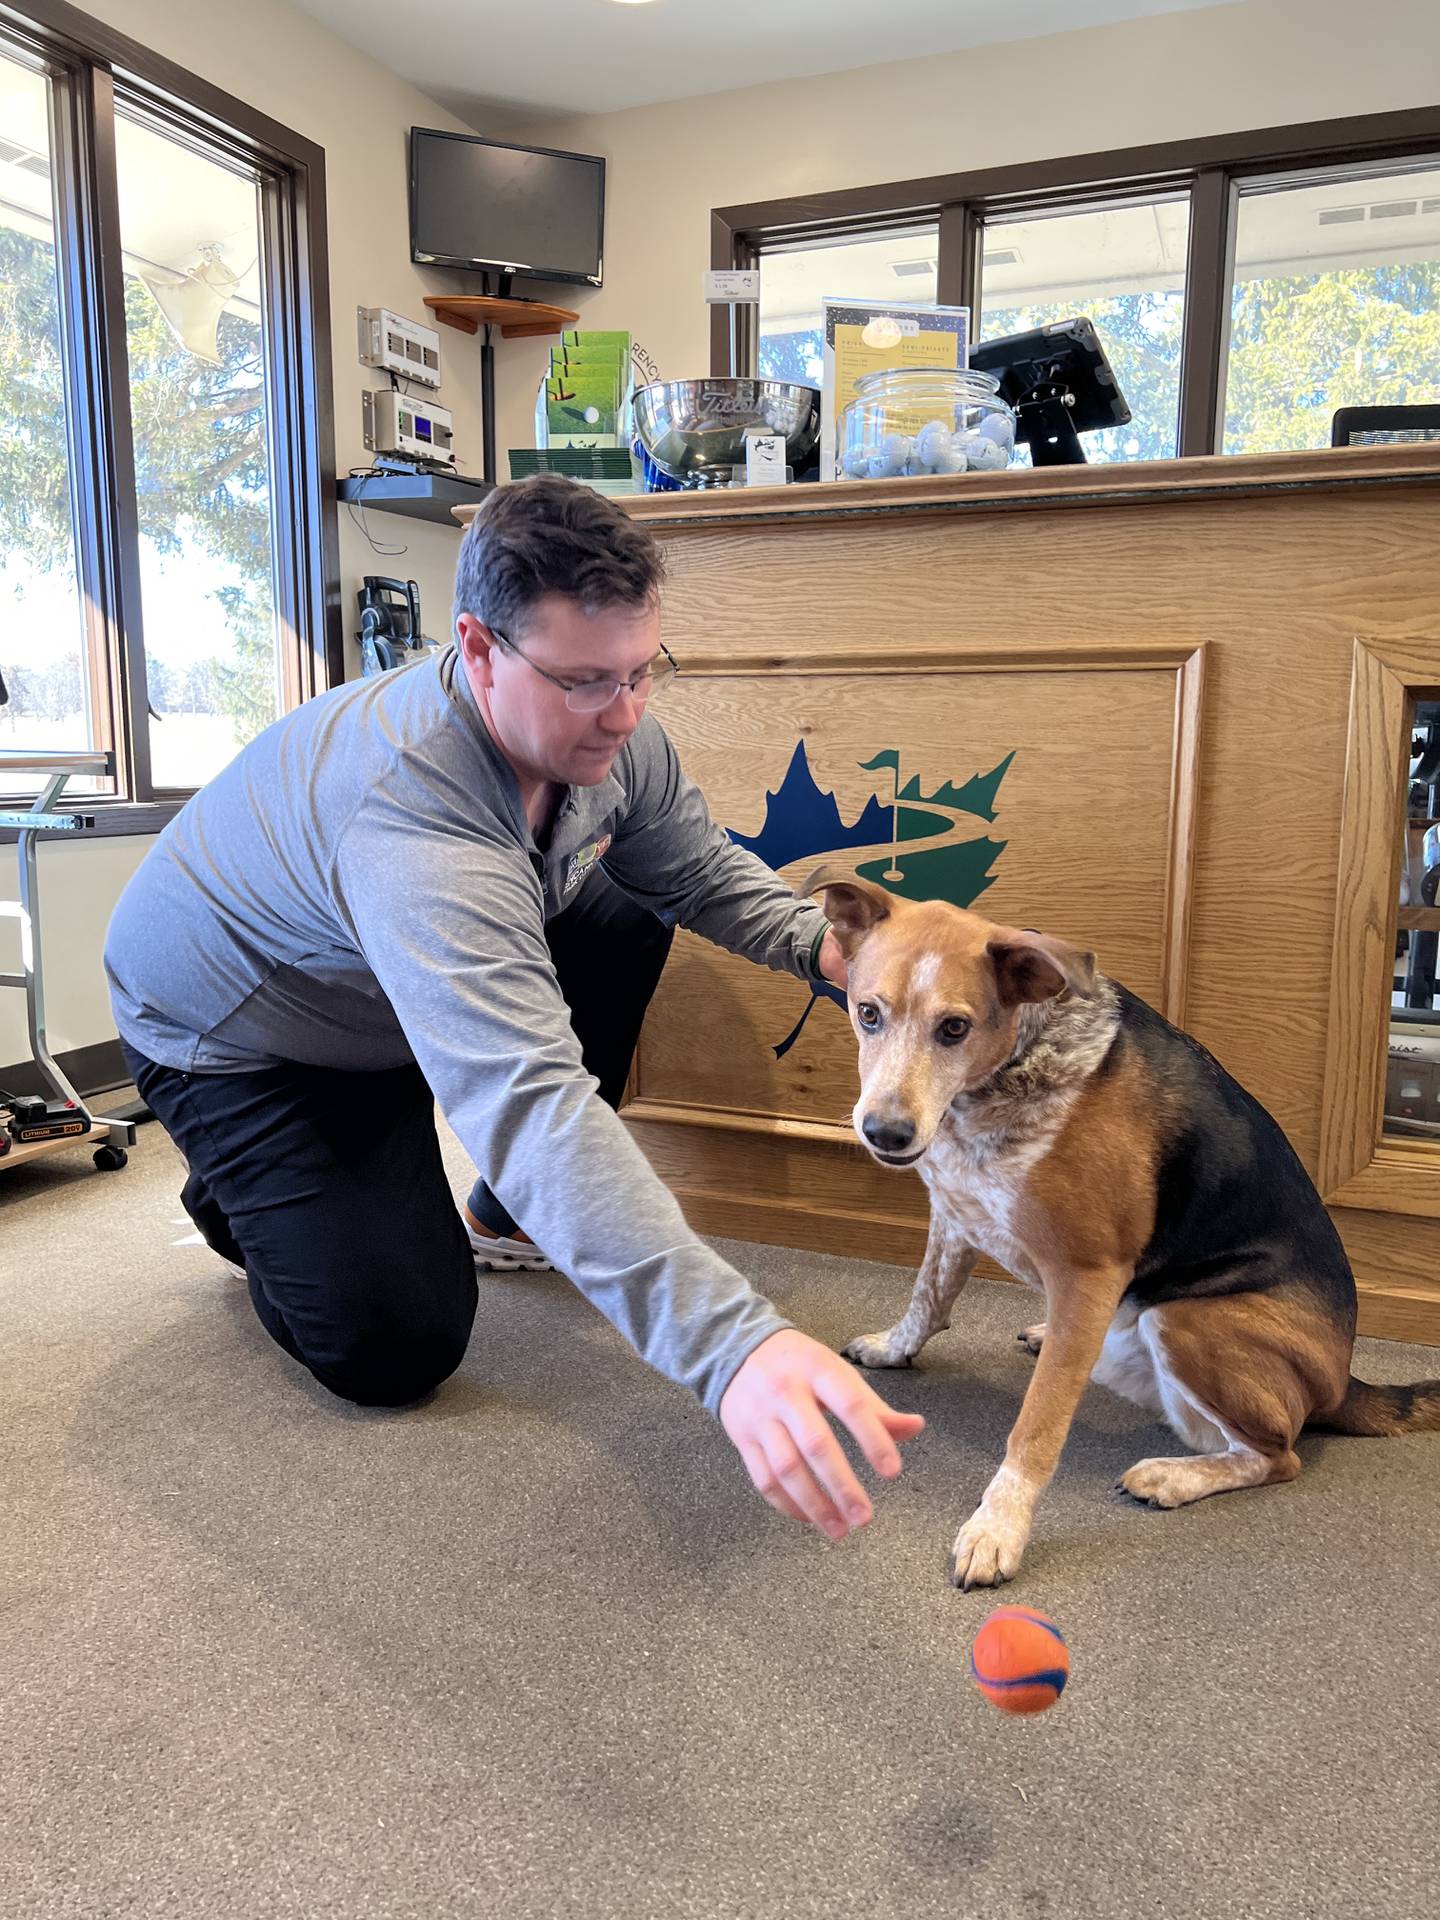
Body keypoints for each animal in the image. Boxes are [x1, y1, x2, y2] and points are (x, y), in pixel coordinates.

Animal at [814, 871, 1440, 1589]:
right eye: (868, 1013)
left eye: (954, 1028)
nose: (885, 1133)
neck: (1005, 1075)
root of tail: (1345, 1382)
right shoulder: (955, 1214)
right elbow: (926, 1302)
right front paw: (894, 1349)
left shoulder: (1089, 1273)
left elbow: (1035, 1429)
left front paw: (998, 1529)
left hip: (1185, 1319)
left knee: (1277, 1455)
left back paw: (1173, 1477)